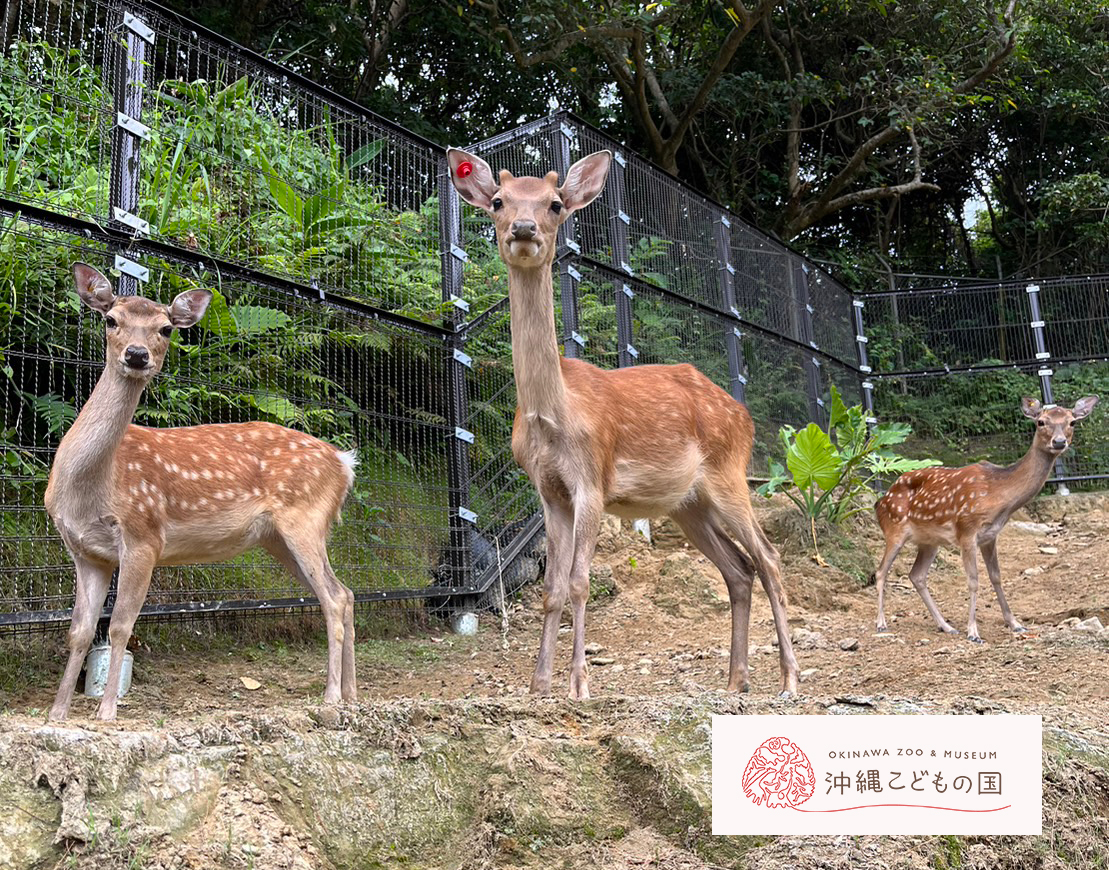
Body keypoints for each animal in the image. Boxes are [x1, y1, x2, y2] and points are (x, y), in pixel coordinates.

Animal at [45, 262, 357, 719]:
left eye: (165, 329)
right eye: (111, 320)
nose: (136, 355)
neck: (90, 488)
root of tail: (345, 464)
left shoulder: (144, 536)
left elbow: (120, 626)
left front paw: (107, 712)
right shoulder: (87, 552)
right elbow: (79, 632)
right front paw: (59, 712)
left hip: (305, 519)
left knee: (333, 598)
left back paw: (332, 696)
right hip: (278, 538)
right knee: (346, 593)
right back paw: (352, 694)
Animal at [445, 143, 802, 701]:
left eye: (555, 204)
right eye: (499, 201)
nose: (523, 228)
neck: (552, 416)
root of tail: (742, 414)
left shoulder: (592, 479)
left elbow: (579, 580)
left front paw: (579, 684)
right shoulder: (549, 491)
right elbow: (551, 587)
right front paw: (539, 683)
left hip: (729, 474)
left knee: (768, 557)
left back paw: (788, 678)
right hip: (688, 504)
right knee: (738, 569)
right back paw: (735, 679)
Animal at [873, 397, 1100, 643]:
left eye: (1072, 422)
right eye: (1041, 421)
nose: (1059, 442)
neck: (999, 495)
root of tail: (880, 502)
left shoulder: (990, 535)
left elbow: (996, 577)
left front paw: (1015, 623)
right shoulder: (967, 529)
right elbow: (973, 580)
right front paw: (973, 632)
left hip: (929, 541)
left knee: (917, 576)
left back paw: (946, 626)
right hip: (894, 528)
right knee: (881, 571)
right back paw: (881, 622)